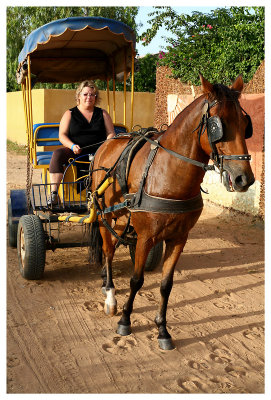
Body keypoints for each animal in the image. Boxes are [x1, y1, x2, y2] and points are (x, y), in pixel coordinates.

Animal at [90, 75, 256, 350]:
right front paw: (125, 320)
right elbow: (137, 280)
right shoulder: (146, 236)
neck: (168, 173)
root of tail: (109, 141)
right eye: (218, 125)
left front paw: (162, 330)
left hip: (124, 218)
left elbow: (166, 285)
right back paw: (110, 294)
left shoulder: (179, 238)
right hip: (105, 215)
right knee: (108, 251)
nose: (245, 178)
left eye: (245, 125)